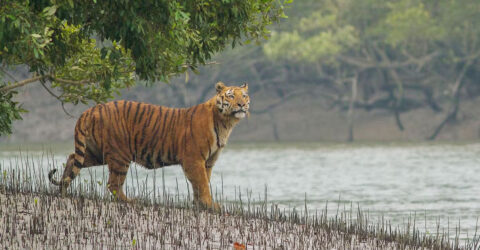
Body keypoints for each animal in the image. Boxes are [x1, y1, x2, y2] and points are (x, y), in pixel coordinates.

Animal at [47, 82, 251, 209]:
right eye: (231, 96)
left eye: (244, 96)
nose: (241, 104)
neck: (226, 123)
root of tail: (91, 110)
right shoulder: (194, 160)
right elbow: (202, 184)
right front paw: (209, 205)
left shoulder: (208, 162)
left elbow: (201, 184)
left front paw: (200, 205)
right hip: (120, 155)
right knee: (113, 184)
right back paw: (130, 201)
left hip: (96, 153)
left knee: (72, 159)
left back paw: (63, 190)